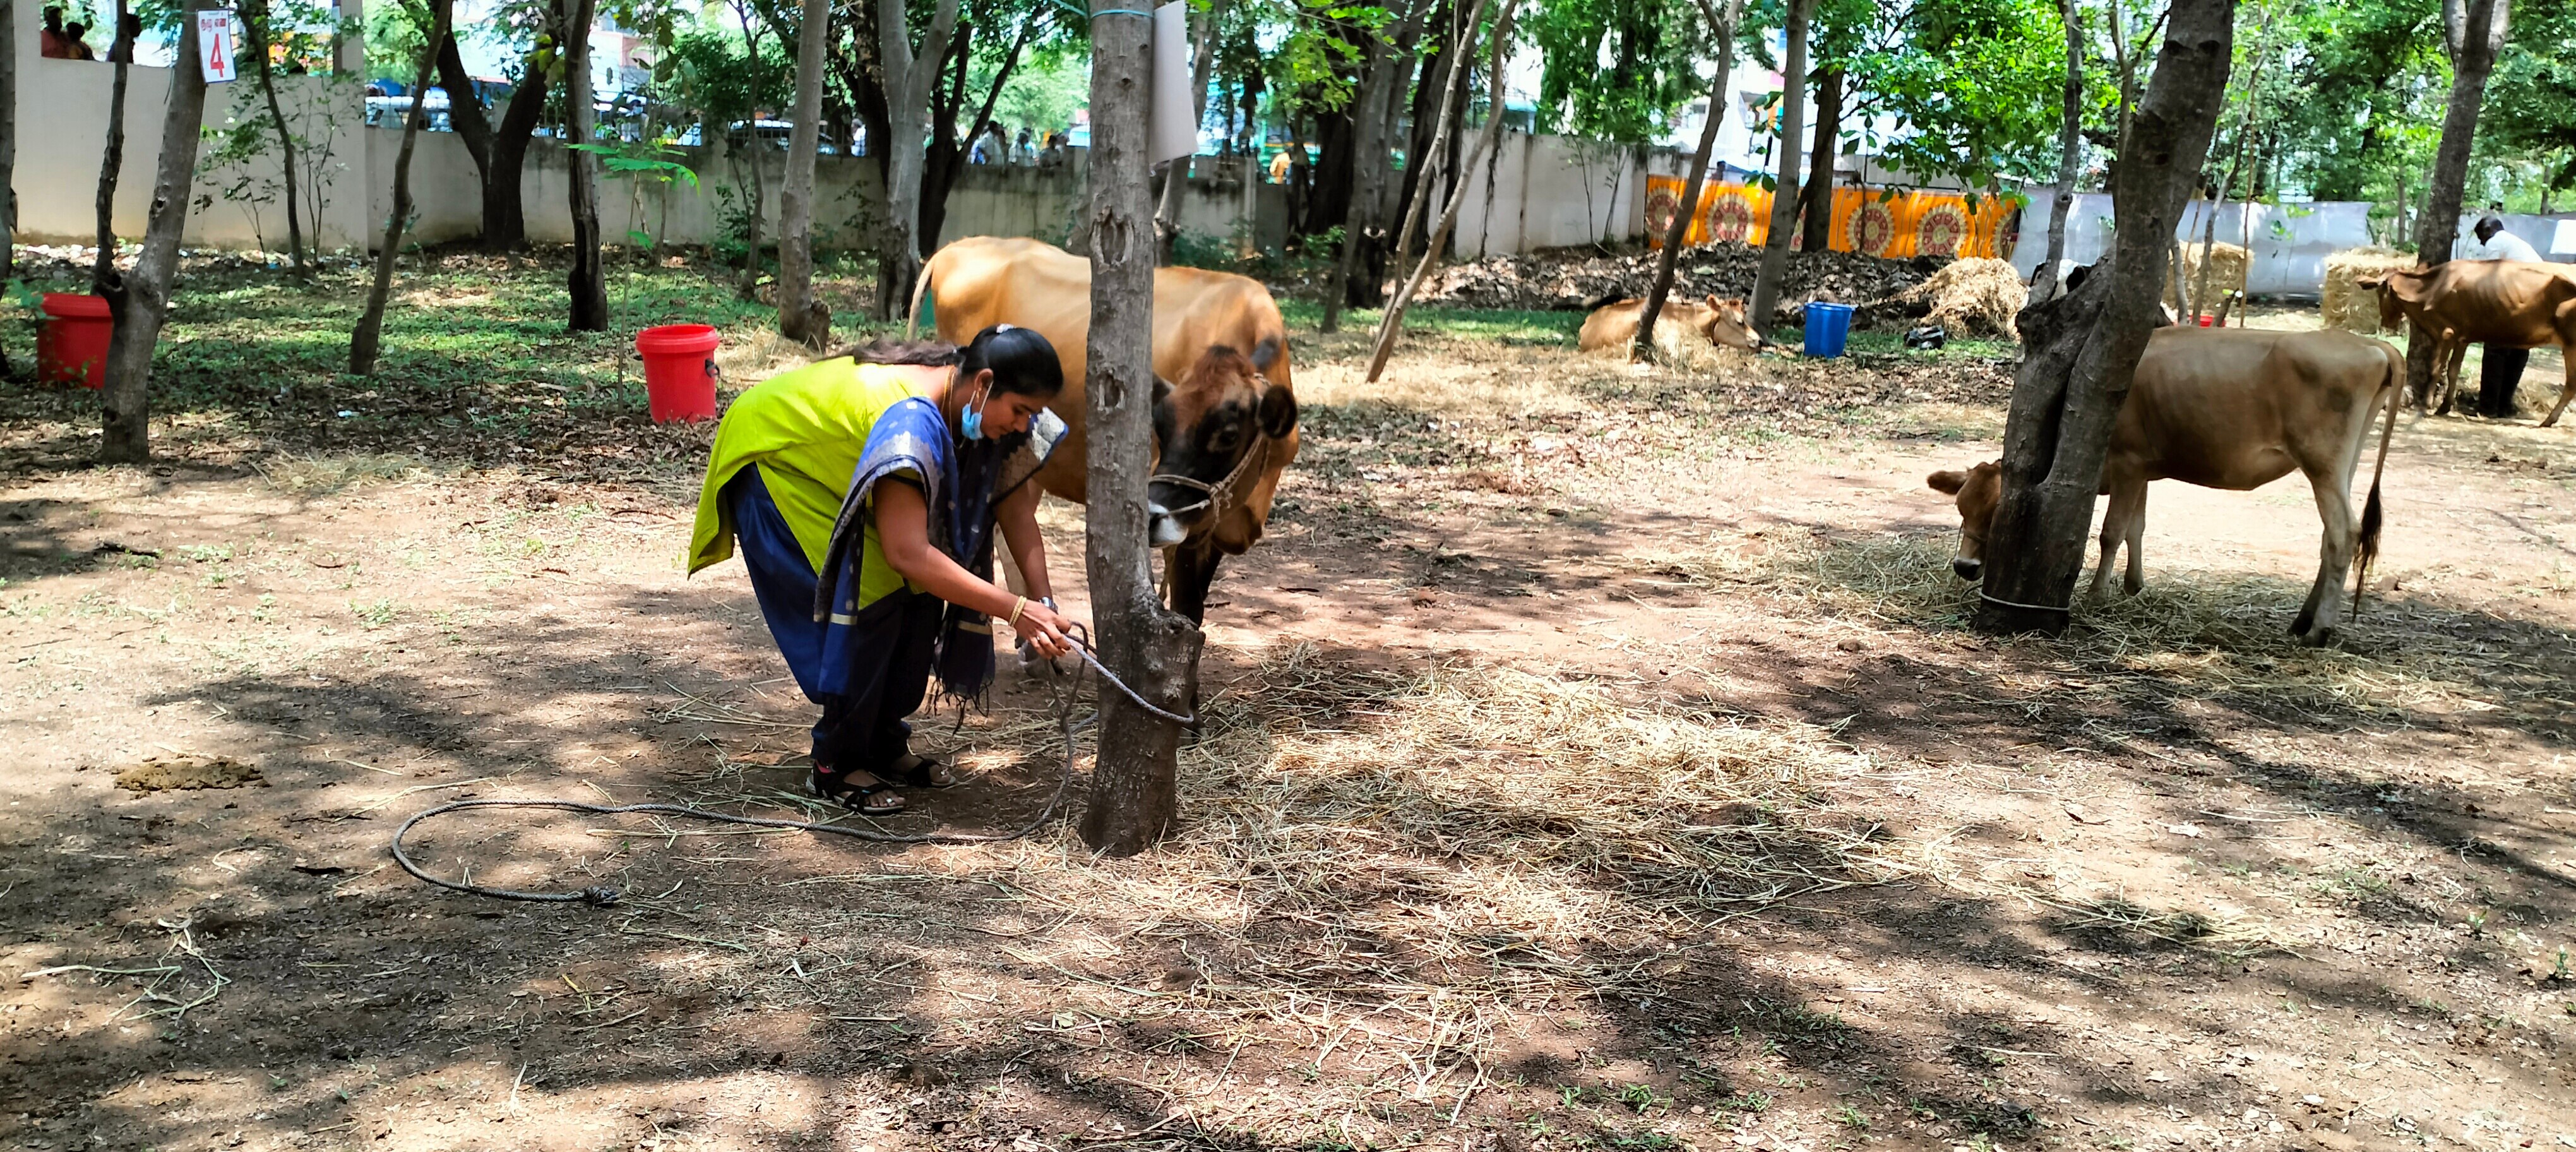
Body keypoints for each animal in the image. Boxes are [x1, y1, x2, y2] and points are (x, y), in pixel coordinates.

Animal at [917, 237, 1298, 631]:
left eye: (1229, 435)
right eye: (1159, 428)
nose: (1151, 517)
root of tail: (955, 248)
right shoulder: (1184, 527)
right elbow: (1186, 611)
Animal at [1926, 330, 2400, 644]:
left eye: (2000, 513)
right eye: (1962, 509)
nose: (1965, 566)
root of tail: (2371, 344)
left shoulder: (2129, 464)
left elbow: (2112, 532)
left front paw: (2096, 595)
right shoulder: (2143, 471)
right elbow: (2137, 529)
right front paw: (2134, 585)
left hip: (2322, 464)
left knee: (2343, 534)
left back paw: (2319, 630)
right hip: (2341, 467)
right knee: (2330, 538)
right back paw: (2302, 620)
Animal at [2359, 259, 2576, 423]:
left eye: (2379, 293)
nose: (2386, 323)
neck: (2431, 290)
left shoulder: (2447, 333)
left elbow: (2436, 368)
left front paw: (2426, 405)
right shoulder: (2462, 337)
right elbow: (2454, 370)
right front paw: (2445, 406)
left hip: (2571, 342)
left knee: (2571, 384)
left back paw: (2549, 420)